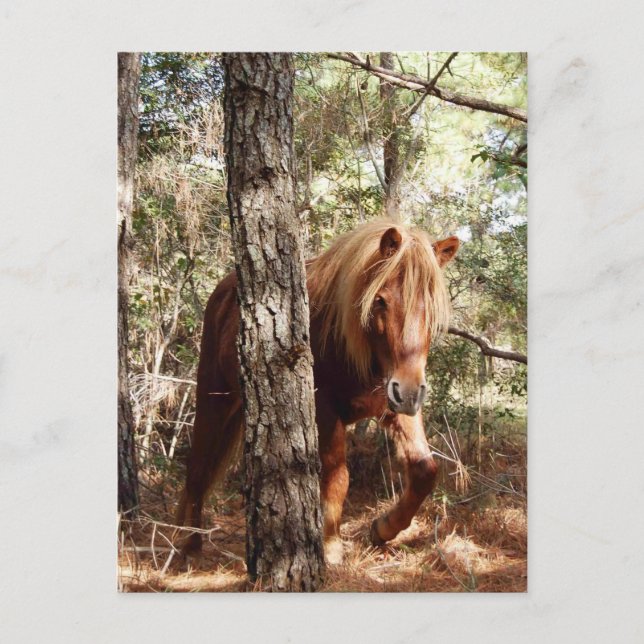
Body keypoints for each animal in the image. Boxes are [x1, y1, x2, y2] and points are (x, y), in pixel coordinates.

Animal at [176, 218, 459, 563]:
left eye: (432, 308)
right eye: (380, 300)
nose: (408, 391)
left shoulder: (395, 407)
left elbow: (424, 471)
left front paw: (384, 528)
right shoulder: (325, 408)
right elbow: (337, 477)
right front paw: (330, 543)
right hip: (212, 398)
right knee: (197, 468)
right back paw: (189, 543)